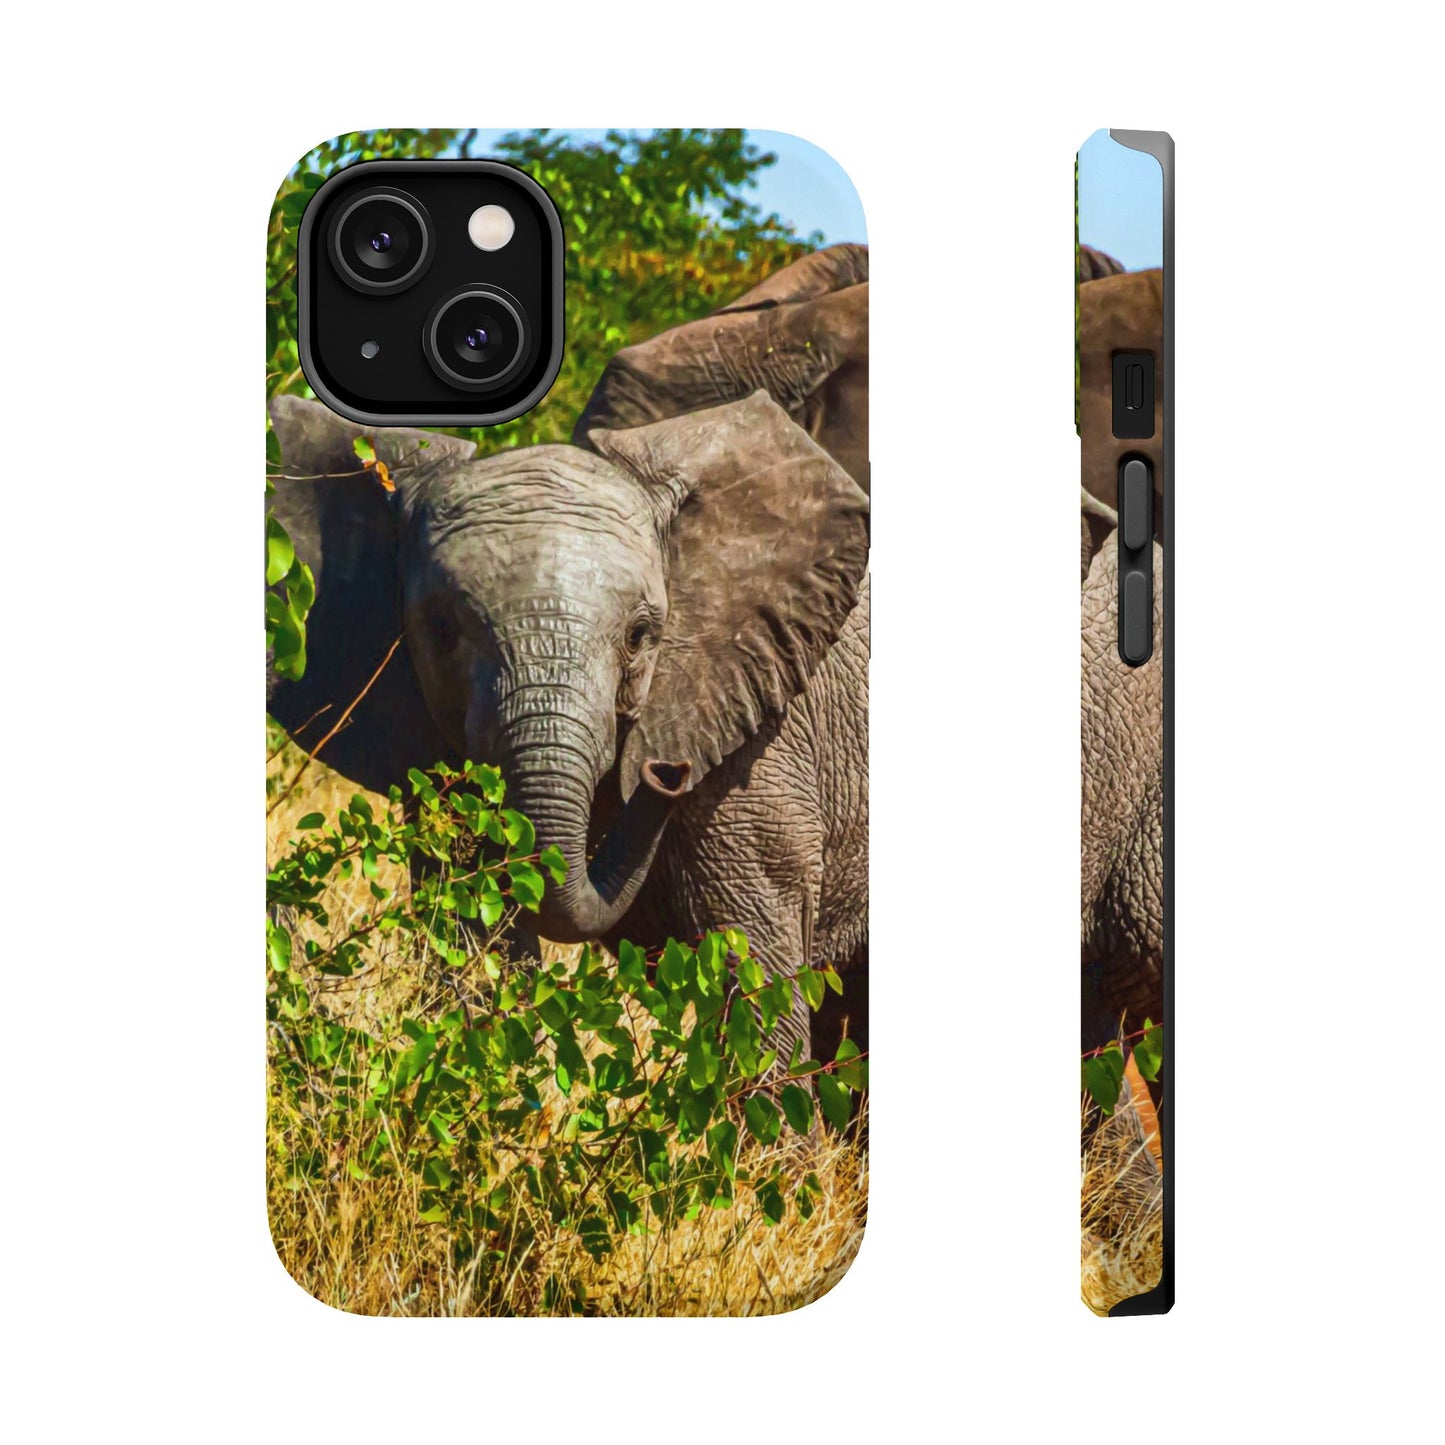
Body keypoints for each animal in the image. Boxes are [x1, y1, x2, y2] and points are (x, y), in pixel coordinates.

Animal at [267, 390, 869, 1065]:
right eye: (441, 631)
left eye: (639, 636)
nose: (667, 773)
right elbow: (477, 935)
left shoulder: (756, 748)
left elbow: (753, 981)